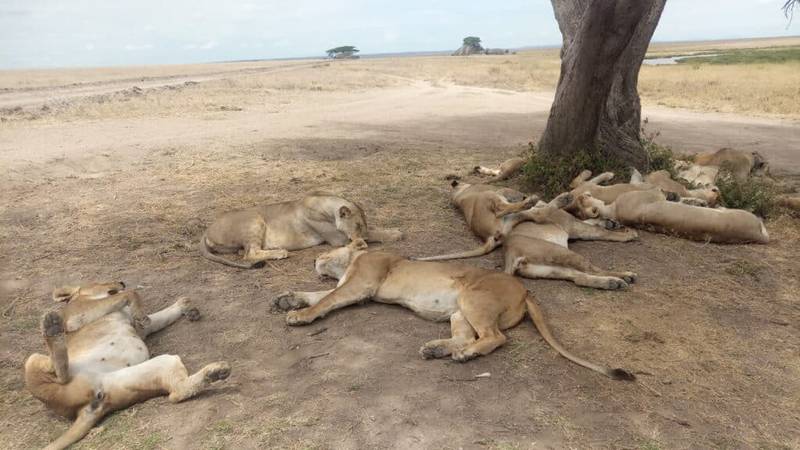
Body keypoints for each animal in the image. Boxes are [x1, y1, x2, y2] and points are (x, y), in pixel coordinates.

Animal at [24, 282, 231, 450]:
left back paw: (217, 371)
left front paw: (184, 304)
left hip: (153, 369)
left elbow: (159, 316)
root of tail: (82, 410)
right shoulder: (80, 314)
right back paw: (51, 325)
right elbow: (130, 294)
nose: (121, 281)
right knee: (59, 373)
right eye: (101, 280)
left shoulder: (142, 329)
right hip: (33, 360)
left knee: (177, 392)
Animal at [200, 192, 403, 268]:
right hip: (254, 219)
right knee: (249, 254)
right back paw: (280, 252)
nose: (359, 234)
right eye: (358, 225)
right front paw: (396, 233)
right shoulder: (338, 239)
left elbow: (375, 230)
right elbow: (372, 235)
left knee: (245, 252)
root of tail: (206, 230)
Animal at [272, 242, 635, 381]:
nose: (313, 258)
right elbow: (318, 294)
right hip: (459, 310)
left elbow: (326, 299)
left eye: (326, 250)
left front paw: (299, 315)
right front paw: (288, 299)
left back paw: (463, 356)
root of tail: (525, 290)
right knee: (467, 337)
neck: (354, 259)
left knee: (496, 337)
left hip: (474, 299)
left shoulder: (360, 286)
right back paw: (436, 350)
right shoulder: (355, 290)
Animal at [575, 189, 769, 244]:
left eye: (584, 200)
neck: (613, 210)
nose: (582, 195)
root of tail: (757, 236)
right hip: (745, 215)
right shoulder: (654, 194)